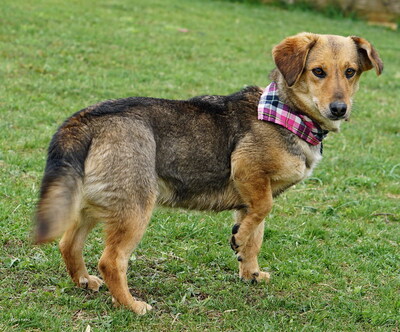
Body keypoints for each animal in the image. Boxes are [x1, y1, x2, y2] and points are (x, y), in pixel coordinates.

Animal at [36, 33, 382, 314]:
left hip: (95, 205)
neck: (288, 113)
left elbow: (257, 235)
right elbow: (262, 212)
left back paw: (83, 280)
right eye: (318, 71)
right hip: (135, 208)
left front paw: (250, 270)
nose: (339, 109)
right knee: (111, 261)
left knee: (68, 244)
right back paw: (131, 305)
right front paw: (238, 239)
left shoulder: (252, 195)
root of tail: (85, 119)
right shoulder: (248, 171)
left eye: (350, 72)